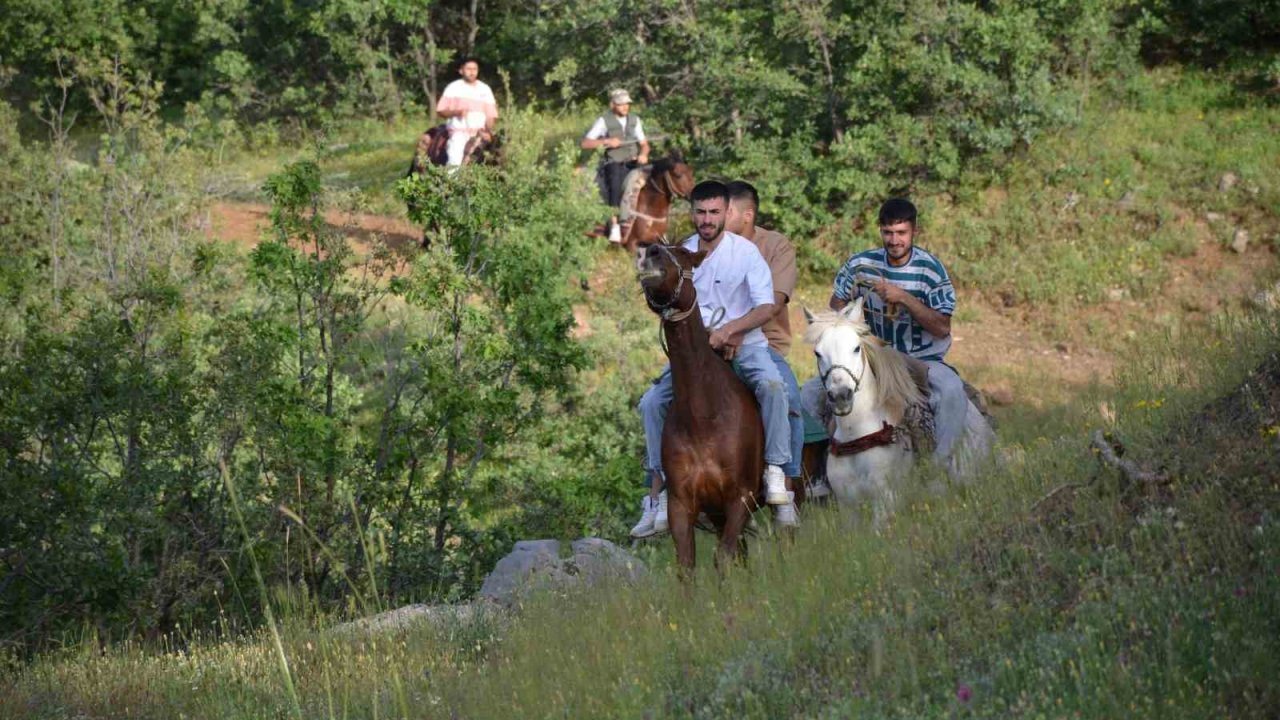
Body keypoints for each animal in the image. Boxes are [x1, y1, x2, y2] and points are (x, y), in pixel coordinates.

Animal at [640, 243, 768, 568]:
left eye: (683, 253)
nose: (650, 252)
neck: (704, 416)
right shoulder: (683, 505)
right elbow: (688, 565)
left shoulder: (740, 498)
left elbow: (722, 557)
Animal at [798, 297, 998, 520]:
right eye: (817, 353)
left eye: (856, 348)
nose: (841, 396)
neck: (857, 434)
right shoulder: (848, 508)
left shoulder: (885, 501)